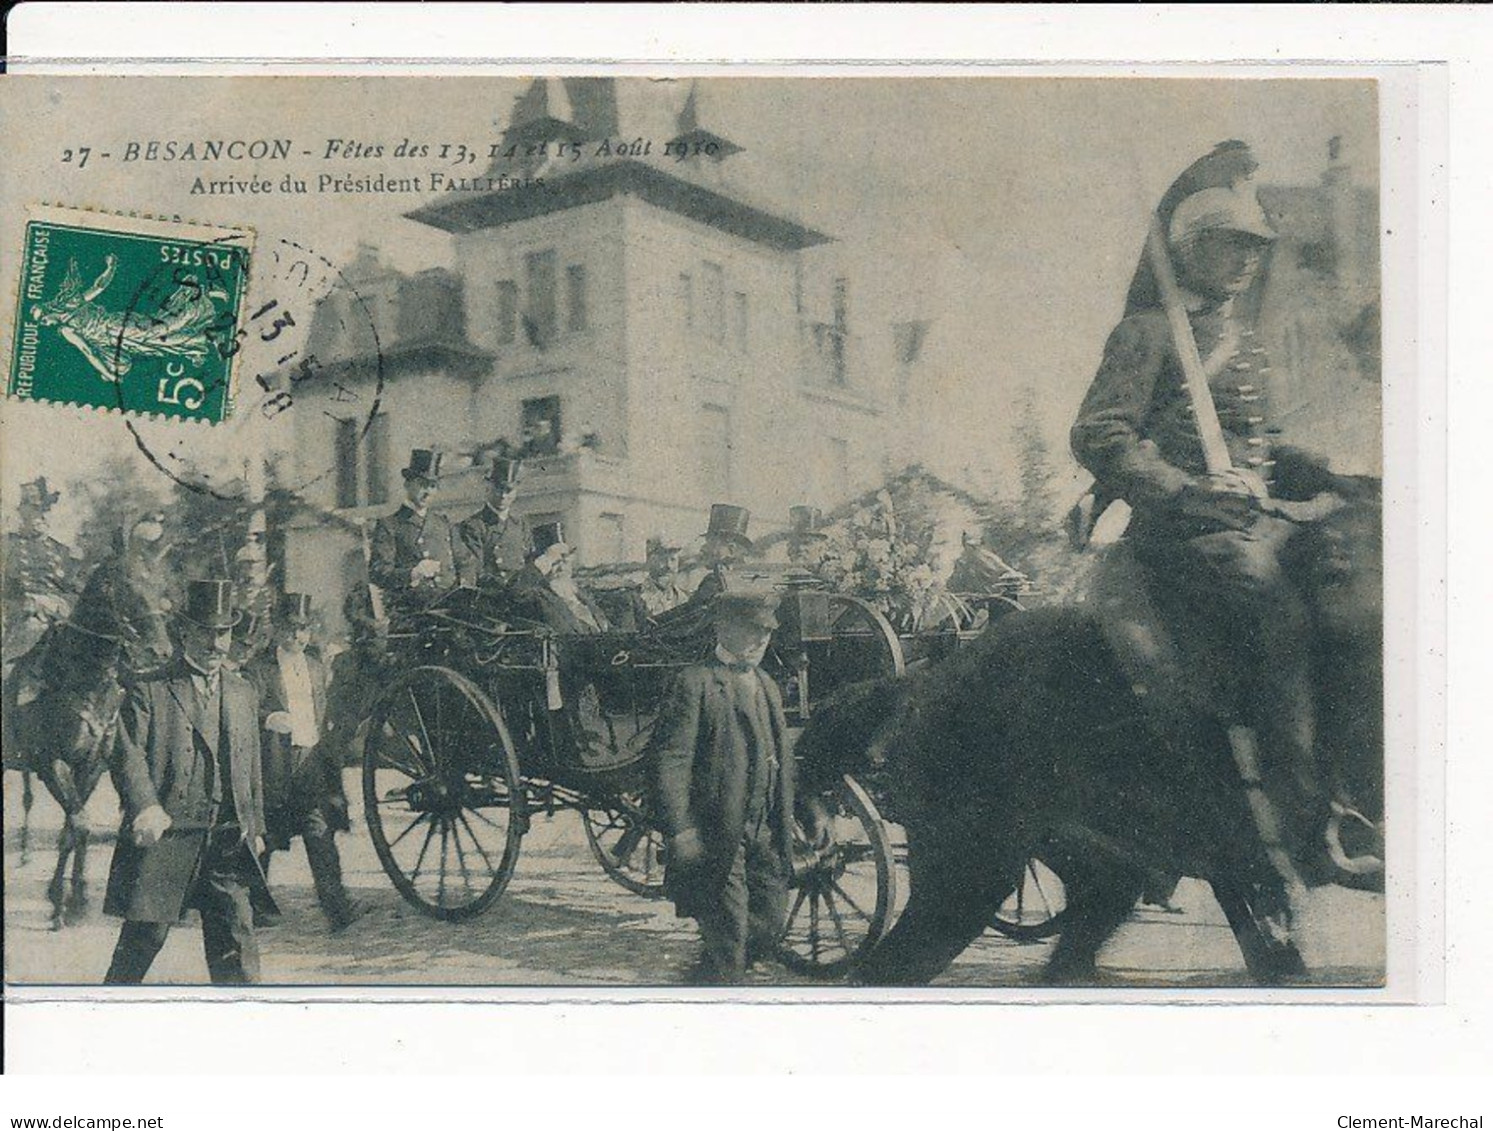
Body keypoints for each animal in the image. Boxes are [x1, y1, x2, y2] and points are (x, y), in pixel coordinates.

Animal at [2, 537, 169, 931]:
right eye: (127, 584)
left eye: (162, 586)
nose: (161, 651)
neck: (78, 678)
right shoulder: (52, 764)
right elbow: (79, 824)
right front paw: (61, 905)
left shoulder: (92, 764)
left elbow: (73, 829)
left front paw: (72, 898)